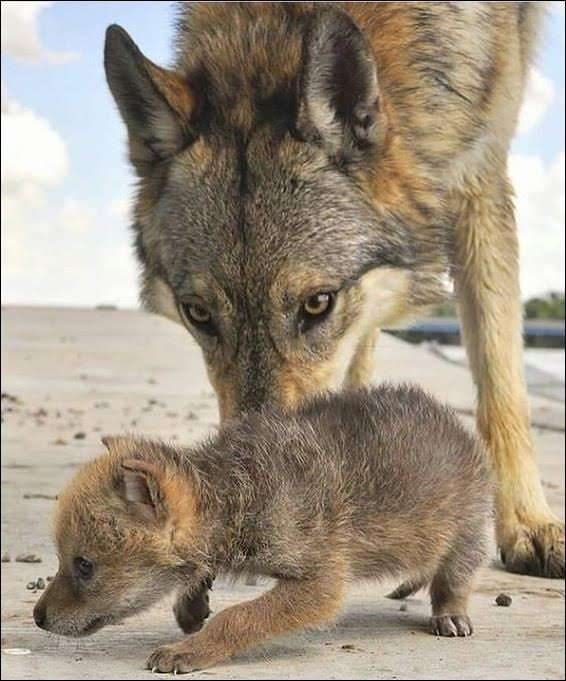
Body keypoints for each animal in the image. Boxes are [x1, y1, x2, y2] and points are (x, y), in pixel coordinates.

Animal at [34, 385, 491, 673]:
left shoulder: (320, 582)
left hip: (467, 530)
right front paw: (191, 607)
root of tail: (456, 425)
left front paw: (189, 650)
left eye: (84, 565)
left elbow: (239, 617)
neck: (236, 494)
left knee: (452, 578)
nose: (37, 618)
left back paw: (451, 615)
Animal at [103, 1, 564, 633]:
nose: (257, 484)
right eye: (199, 314)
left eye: (316, 304)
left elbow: (501, 382)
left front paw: (526, 525)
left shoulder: (482, 172)